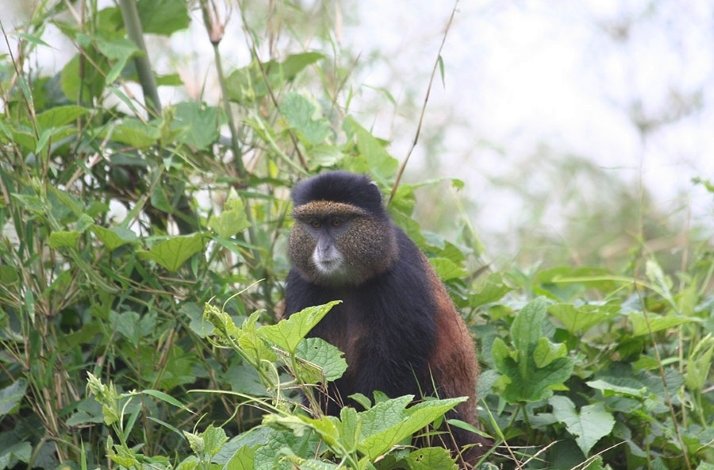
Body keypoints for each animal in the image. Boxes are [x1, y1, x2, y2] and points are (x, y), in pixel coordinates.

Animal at [284, 171, 489, 466]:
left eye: (337, 222)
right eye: (314, 224)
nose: (322, 249)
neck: (348, 282)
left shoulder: (400, 278)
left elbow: (397, 362)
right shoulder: (300, 284)